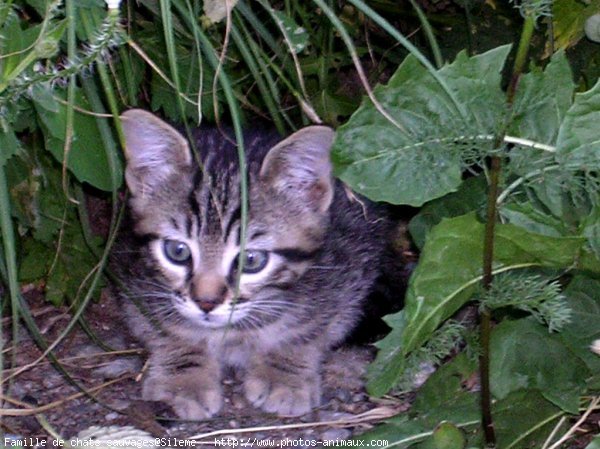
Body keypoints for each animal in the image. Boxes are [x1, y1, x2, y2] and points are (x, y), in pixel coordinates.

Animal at [112, 110, 394, 418]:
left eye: (251, 261)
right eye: (177, 251)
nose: (206, 302)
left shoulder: (347, 270)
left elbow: (306, 329)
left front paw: (283, 372)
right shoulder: (131, 274)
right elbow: (167, 328)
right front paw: (183, 378)